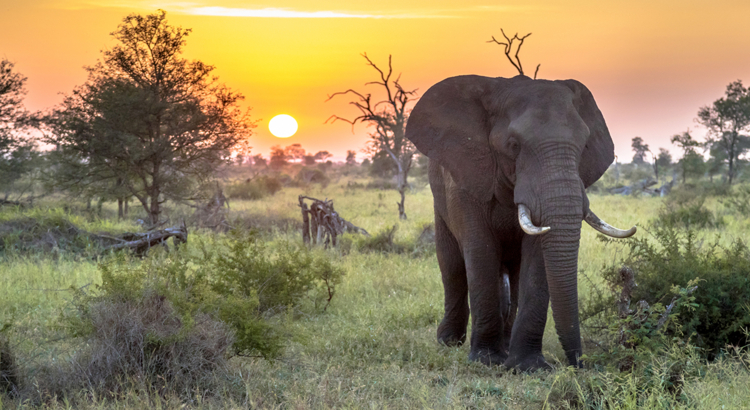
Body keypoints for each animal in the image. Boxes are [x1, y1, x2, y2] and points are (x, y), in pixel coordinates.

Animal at [405, 74, 636, 370]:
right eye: (514, 145)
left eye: (584, 145)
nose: (580, 363)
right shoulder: (467, 179)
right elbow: (480, 251)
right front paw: (486, 360)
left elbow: (537, 259)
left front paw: (528, 367)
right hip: (440, 202)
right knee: (452, 266)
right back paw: (450, 342)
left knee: (512, 276)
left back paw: (505, 346)